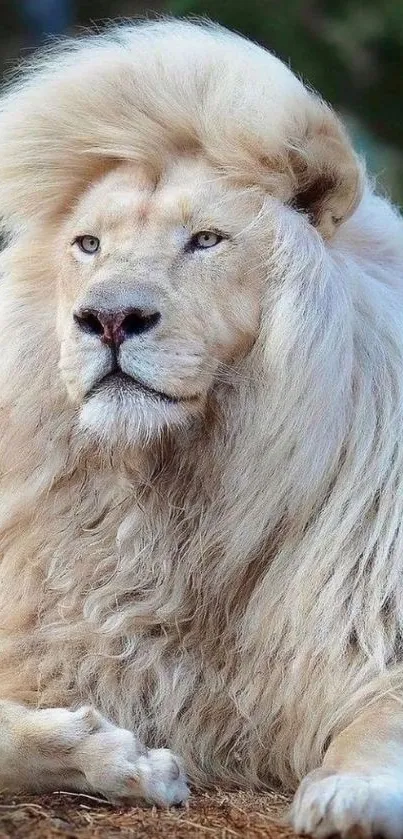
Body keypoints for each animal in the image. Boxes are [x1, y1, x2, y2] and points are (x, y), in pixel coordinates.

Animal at [0, 16, 403, 836]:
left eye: (206, 240)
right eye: (88, 244)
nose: (109, 318)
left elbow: (378, 726)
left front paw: (347, 796)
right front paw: (116, 759)